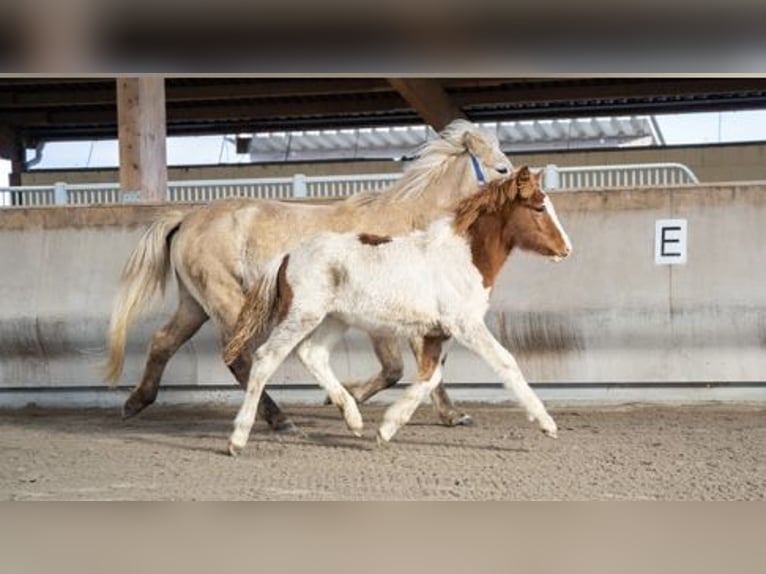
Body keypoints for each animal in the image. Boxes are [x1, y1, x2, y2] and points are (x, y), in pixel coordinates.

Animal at [105, 119, 512, 430]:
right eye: (503, 169)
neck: (405, 222)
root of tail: (187, 218)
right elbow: (396, 367)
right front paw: (345, 400)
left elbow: (426, 366)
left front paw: (453, 416)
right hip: (228, 301)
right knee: (239, 357)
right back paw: (278, 418)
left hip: (195, 303)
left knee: (163, 341)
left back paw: (135, 403)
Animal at [222, 168, 568, 460]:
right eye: (539, 207)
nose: (566, 250)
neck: (462, 257)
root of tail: (289, 254)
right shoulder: (465, 325)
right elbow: (506, 363)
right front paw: (547, 423)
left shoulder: (437, 332)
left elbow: (430, 376)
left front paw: (386, 429)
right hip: (301, 316)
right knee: (265, 358)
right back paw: (238, 439)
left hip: (334, 320)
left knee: (312, 355)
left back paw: (354, 420)